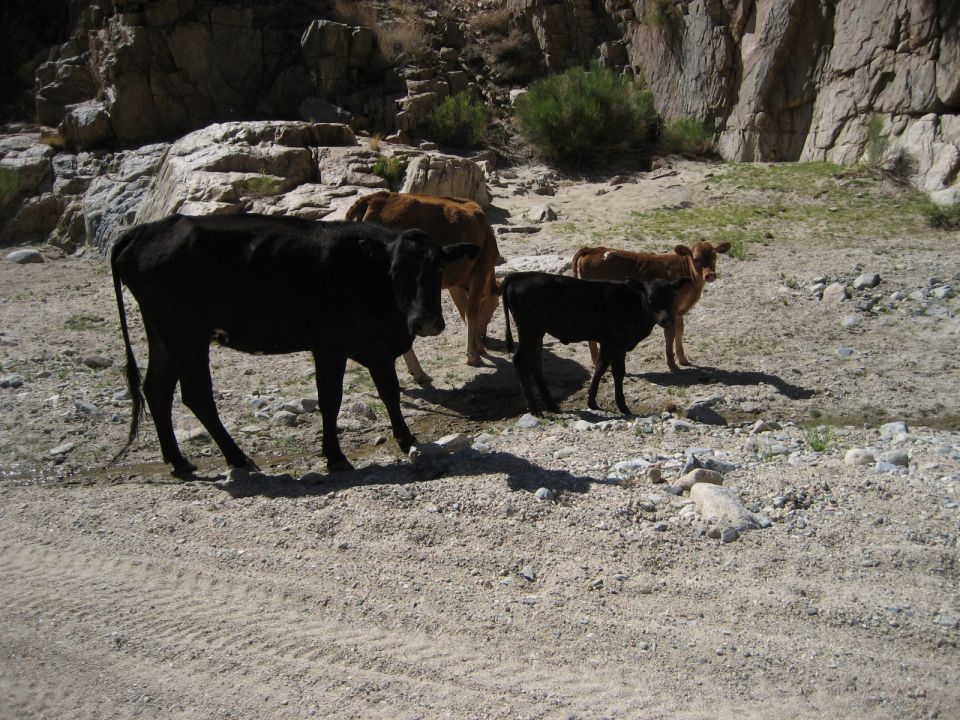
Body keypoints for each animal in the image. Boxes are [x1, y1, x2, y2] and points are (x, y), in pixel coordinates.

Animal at [111, 213, 479, 477]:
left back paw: (180, 461)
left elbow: (390, 393)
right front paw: (335, 456)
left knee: (157, 390)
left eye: (438, 268)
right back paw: (238, 459)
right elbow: (330, 400)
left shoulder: (378, 348)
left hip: (162, 332)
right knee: (196, 395)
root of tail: (145, 230)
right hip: (185, 333)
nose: (425, 321)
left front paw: (408, 440)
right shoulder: (329, 347)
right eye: (395, 271)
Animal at [346, 191, 501, 384]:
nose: (485, 336)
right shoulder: (480, 270)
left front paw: (478, 347)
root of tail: (373, 199)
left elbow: (463, 311)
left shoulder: (454, 283)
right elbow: (471, 312)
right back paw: (419, 373)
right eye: (495, 305)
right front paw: (474, 356)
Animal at [501, 271, 691, 415]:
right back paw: (535, 410)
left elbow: (600, 367)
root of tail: (519, 275)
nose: (667, 320)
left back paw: (552, 405)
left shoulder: (607, 342)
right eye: (650, 298)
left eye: (673, 296)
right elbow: (618, 372)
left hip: (537, 334)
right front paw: (623, 406)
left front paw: (591, 401)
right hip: (529, 331)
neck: (634, 305)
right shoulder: (618, 342)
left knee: (535, 363)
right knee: (521, 361)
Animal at [571, 240, 731, 372]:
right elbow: (670, 336)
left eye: (715, 257)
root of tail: (593, 249)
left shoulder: (679, 311)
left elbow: (679, 332)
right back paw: (596, 360)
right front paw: (672, 366)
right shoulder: (669, 311)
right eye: (696, 259)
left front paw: (683, 360)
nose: (710, 275)